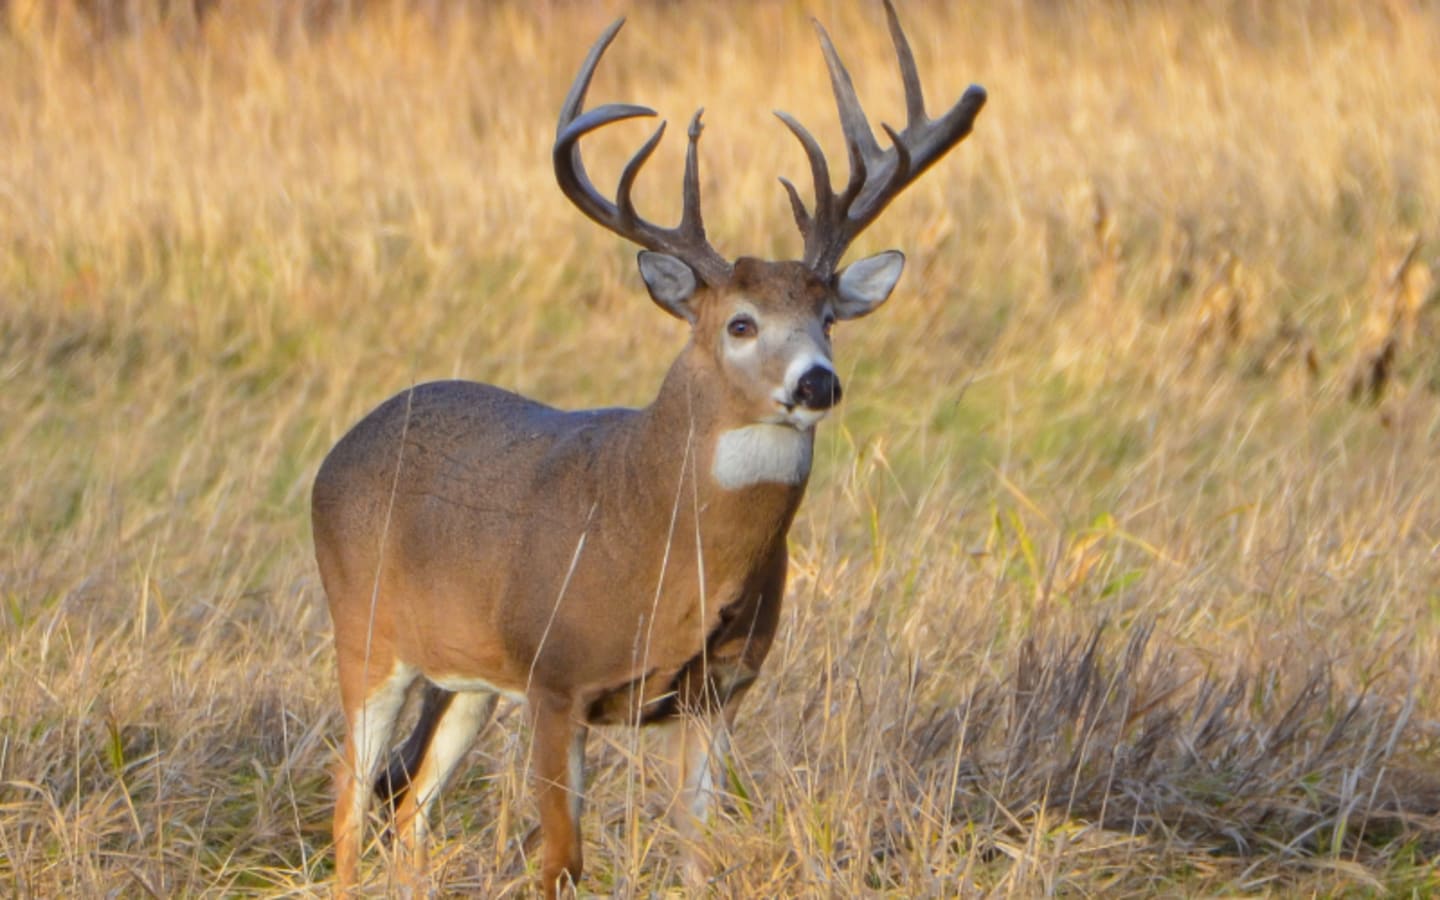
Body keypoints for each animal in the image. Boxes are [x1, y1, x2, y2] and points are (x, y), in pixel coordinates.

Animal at [310, 1, 985, 895]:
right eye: (741, 324)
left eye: (828, 318)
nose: (817, 383)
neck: (665, 540)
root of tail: (339, 450)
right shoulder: (557, 679)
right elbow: (563, 862)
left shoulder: (717, 694)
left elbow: (700, 852)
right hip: (367, 630)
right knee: (350, 800)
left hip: (466, 679)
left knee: (411, 804)